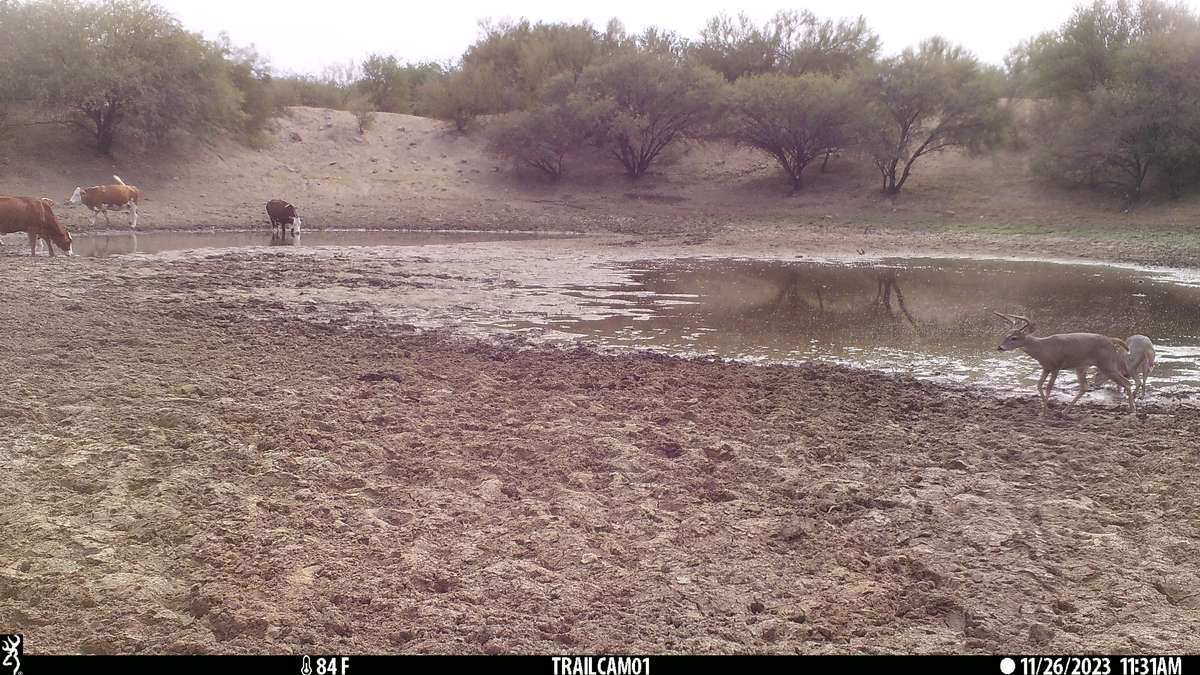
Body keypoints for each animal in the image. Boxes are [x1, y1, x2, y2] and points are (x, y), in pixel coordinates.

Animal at [993, 312, 1136, 414]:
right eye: (1006, 335)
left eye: (1014, 338)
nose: (1000, 347)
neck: (1042, 348)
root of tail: (1111, 340)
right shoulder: (1046, 367)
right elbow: (1039, 385)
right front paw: (1045, 409)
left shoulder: (1056, 366)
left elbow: (1048, 387)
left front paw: (1044, 412)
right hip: (1082, 366)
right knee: (1084, 387)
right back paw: (1065, 411)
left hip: (1107, 364)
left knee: (1127, 382)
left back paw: (1132, 410)